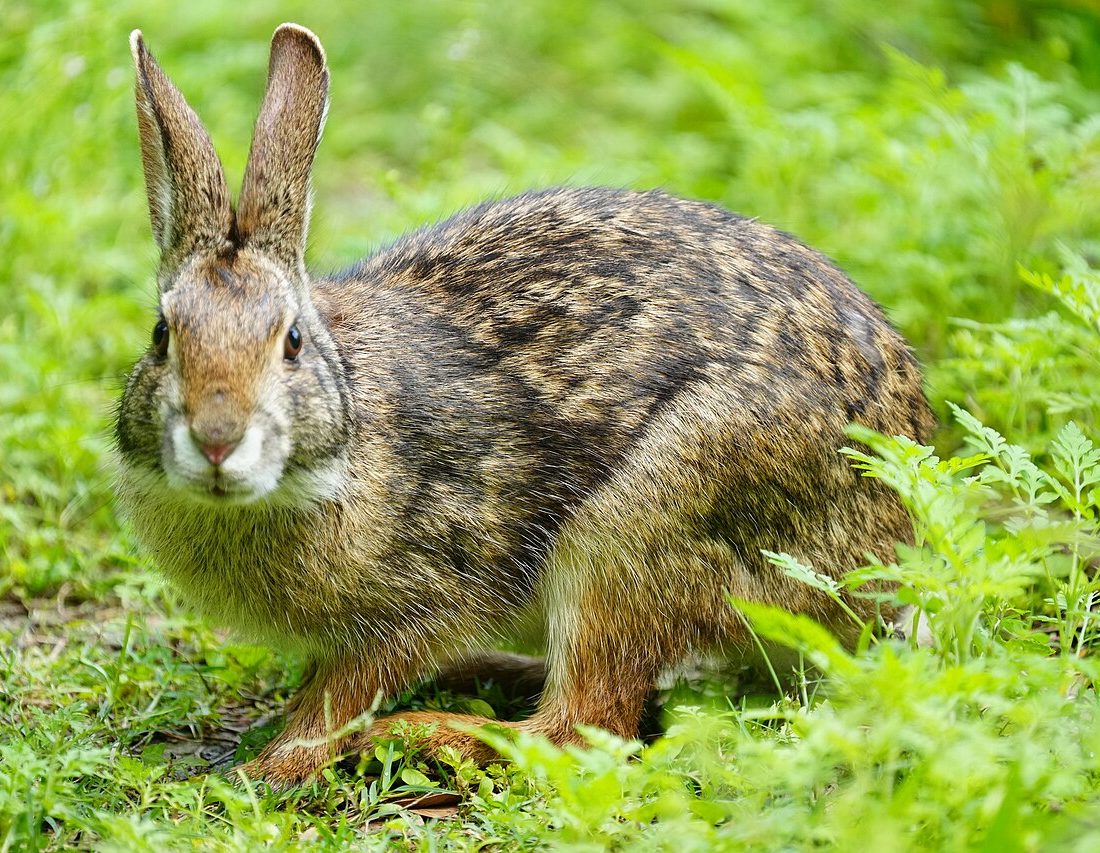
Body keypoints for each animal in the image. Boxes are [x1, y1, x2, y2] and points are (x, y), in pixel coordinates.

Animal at [115, 23, 935, 789]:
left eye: (290, 342)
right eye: (162, 335)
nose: (218, 439)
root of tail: (889, 553)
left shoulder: (426, 591)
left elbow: (343, 693)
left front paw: (271, 764)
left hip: (637, 530)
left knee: (584, 726)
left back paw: (423, 732)